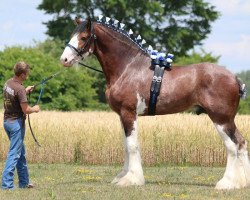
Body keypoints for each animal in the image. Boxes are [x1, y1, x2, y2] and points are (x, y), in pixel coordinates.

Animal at [60, 16, 250, 189]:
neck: (128, 68)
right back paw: (242, 182)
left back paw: (226, 183)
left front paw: (131, 180)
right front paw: (122, 176)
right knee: (241, 142)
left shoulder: (129, 112)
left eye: (83, 37)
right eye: (72, 35)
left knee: (232, 146)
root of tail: (234, 78)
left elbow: (132, 146)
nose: (64, 60)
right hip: (228, 120)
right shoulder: (122, 115)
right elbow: (126, 146)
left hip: (221, 119)